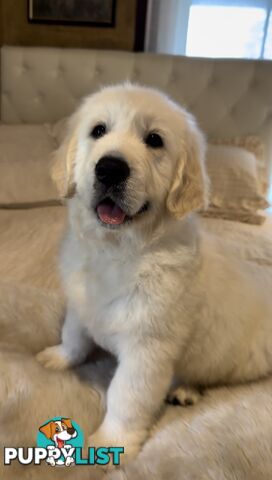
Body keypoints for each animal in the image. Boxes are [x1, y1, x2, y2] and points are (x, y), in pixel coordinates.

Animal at [37, 84, 272, 464]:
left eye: (154, 140)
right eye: (98, 130)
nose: (110, 169)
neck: (118, 249)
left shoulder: (147, 349)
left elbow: (125, 397)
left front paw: (112, 442)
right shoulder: (80, 303)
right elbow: (74, 334)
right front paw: (59, 356)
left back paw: (187, 389)